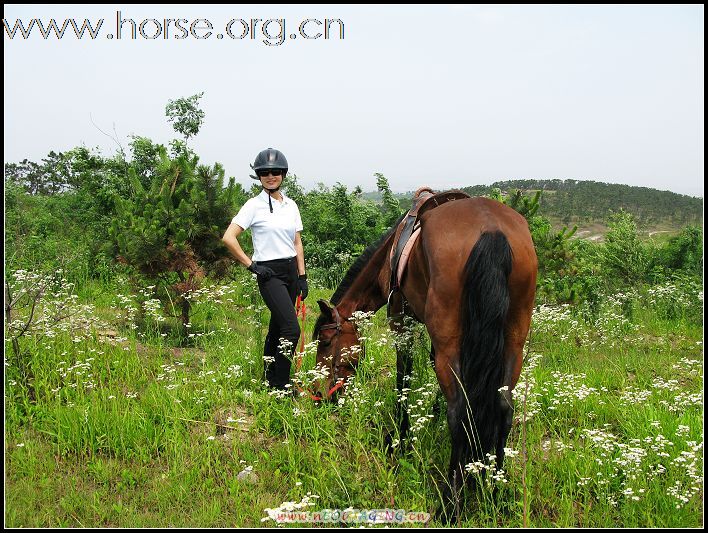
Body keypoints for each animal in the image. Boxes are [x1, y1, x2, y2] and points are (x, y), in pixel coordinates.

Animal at [312, 193, 532, 520]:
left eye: (326, 342)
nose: (319, 397)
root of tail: (491, 229)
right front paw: (432, 412)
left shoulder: (400, 319)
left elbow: (403, 377)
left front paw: (400, 438)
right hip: (513, 343)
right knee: (504, 408)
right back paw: (495, 492)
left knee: (460, 412)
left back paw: (451, 505)